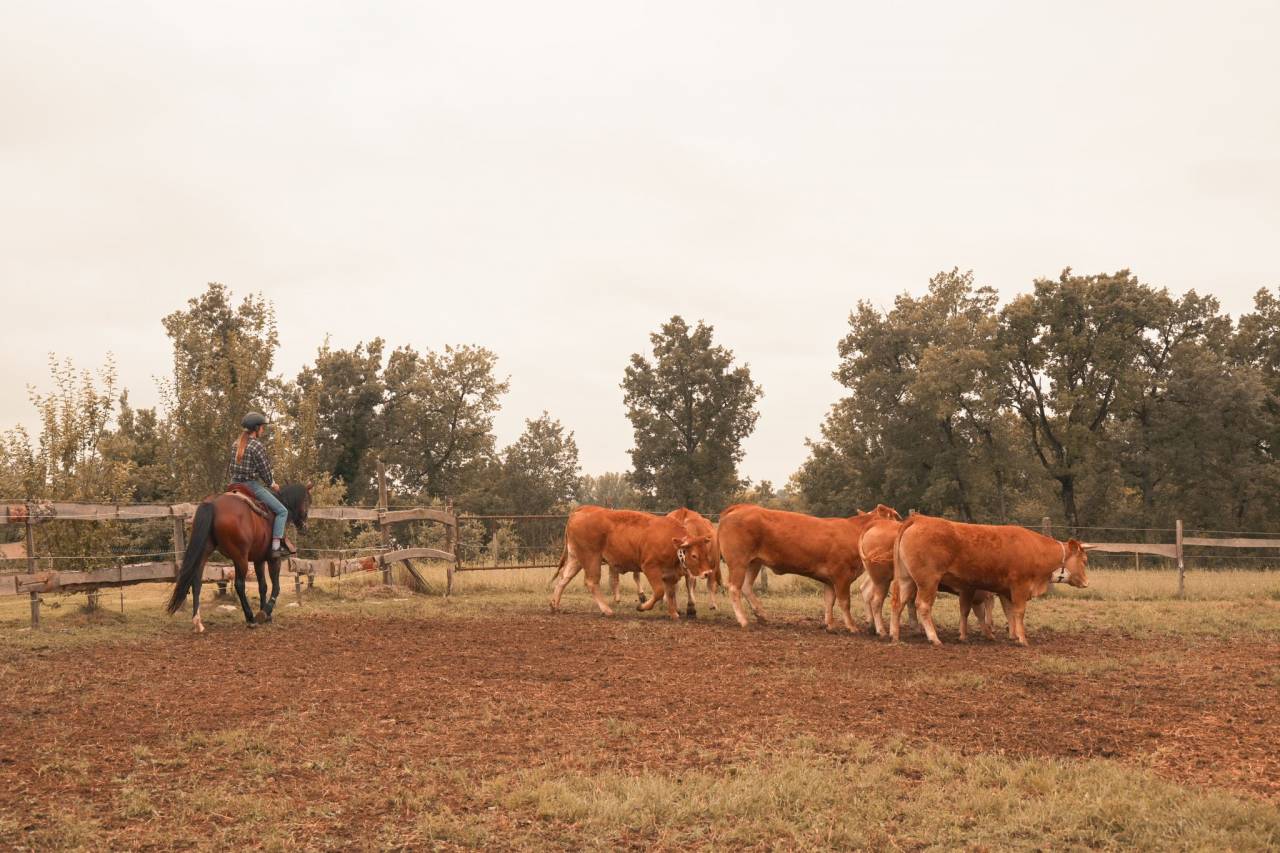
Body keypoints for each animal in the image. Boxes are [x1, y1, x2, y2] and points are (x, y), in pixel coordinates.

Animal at [166, 483, 312, 632]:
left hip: (205, 552)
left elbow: (263, 586)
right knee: (239, 584)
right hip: (240, 558)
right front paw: (265, 613)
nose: (305, 527)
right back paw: (250, 618)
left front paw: (265, 614)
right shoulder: (273, 560)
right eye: (308, 501)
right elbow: (276, 587)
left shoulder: (259, 560)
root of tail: (213, 503)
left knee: (196, 582)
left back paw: (198, 622)